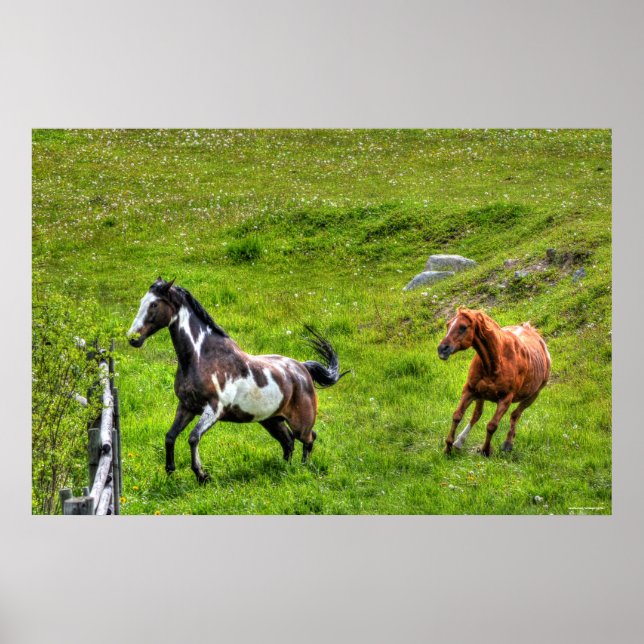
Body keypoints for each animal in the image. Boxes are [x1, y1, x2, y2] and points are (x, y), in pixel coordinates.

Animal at [127, 278, 348, 483]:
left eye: (154, 304)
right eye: (142, 301)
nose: (133, 338)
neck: (201, 357)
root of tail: (302, 369)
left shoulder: (214, 409)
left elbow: (193, 438)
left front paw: (202, 475)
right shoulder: (186, 406)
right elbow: (170, 436)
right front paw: (170, 471)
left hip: (300, 422)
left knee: (308, 438)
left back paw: (302, 469)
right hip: (271, 420)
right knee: (288, 442)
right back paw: (284, 469)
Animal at [437, 307, 551, 456]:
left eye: (463, 327)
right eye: (448, 324)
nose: (442, 349)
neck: (496, 361)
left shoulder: (506, 399)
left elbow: (492, 425)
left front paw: (485, 450)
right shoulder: (470, 390)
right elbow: (457, 415)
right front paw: (448, 447)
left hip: (533, 396)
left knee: (515, 415)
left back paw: (508, 444)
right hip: (481, 394)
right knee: (476, 415)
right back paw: (459, 442)